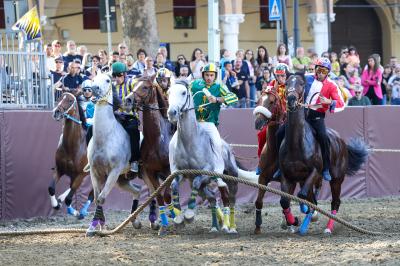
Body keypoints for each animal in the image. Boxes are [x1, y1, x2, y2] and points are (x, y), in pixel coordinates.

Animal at [87, 73, 142, 237]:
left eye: (107, 80)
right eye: (93, 78)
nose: (94, 89)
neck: (105, 138)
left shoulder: (114, 171)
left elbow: (101, 198)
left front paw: (98, 226)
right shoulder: (95, 172)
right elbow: (96, 197)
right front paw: (95, 226)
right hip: (122, 180)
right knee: (138, 189)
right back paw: (135, 220)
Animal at [124, 76, 176, 236]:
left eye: (145, 87)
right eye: (134, 85)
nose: (128, 99)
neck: (157, 139)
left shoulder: (170, 171)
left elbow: (167, 195)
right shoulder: (150, 171)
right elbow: (158, 196)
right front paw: (163, 225)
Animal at [166, 80, 258, 233]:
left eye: (184, 92)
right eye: (168, 92)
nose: (172, 112)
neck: (189, 142)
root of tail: (228, 147)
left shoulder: (206, 172)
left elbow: (196, 182)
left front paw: (189, 214)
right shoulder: (180, 172)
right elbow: (174, 185)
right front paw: (179, 217)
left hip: (231, 178)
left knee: (230, 199)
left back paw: (231, 227)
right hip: (205, 187)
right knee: (212, 199)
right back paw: (216, 226)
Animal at [278, 75, 368, 235]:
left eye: (301, 84)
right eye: (287, 83)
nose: (291, 99)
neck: (296, 144)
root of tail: (341, 142)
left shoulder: (314, 171)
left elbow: (303, 196)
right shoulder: (287, 175)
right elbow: (285, 201)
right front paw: (293, 221)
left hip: (336, 179)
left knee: (335, 202)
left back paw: (327, 228)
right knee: (312, 199)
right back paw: (304, 225)